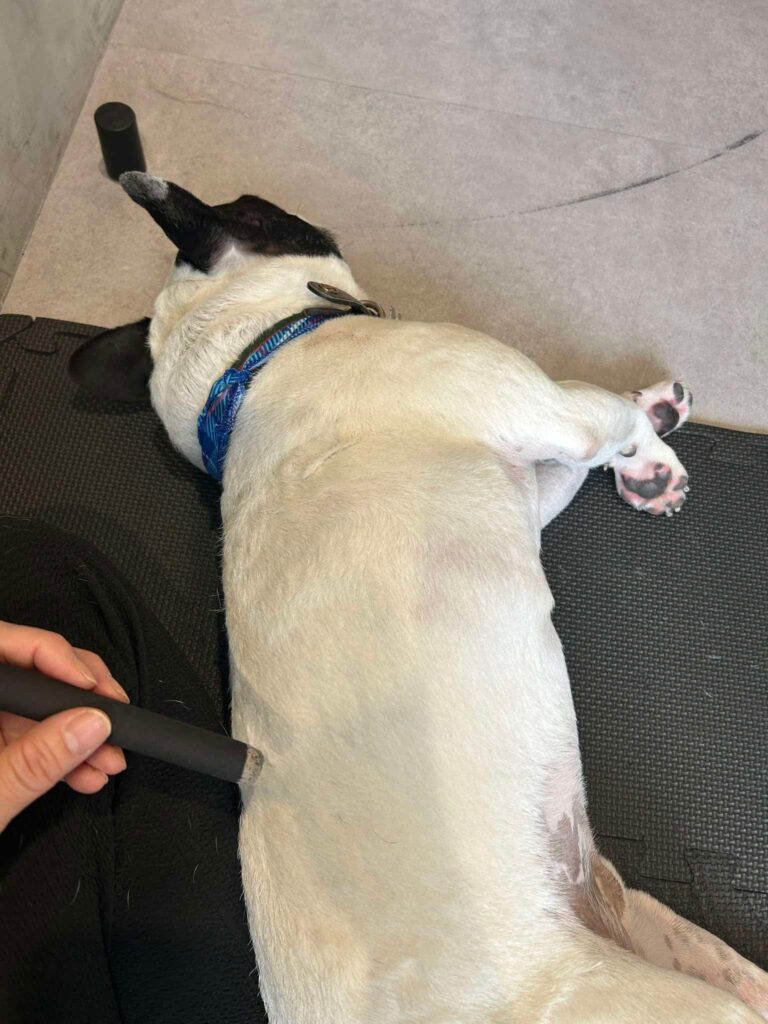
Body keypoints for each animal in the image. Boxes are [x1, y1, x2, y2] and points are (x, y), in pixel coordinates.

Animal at [71, 171, 768, 1022]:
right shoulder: (553, 408)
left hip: (660, 930)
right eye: (255, 210)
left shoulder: (532, 479)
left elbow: (584, 461)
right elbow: (611, 415)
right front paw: (651, 443)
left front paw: (652, 438)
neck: (250, 359)